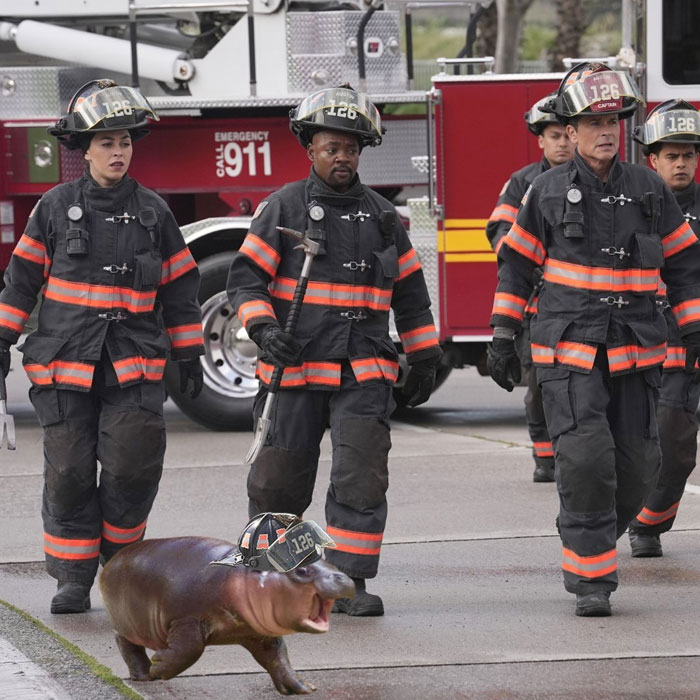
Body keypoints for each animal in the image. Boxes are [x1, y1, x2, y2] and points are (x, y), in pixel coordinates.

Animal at [98, 516, 356, 696]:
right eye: (302, 570)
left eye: (328, 562)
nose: (343, 577)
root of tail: (112, 560)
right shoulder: (186, 620)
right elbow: (190, 650)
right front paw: (158, 666)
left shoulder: (256, 633)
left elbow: (278, 658)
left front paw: (303, 687)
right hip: (127, 623)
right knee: (127, 645)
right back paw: (145, 675)